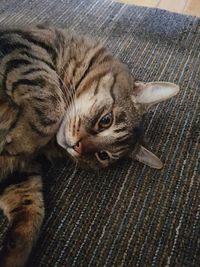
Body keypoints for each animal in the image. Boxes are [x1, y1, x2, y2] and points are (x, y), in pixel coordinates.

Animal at [0, 25, 179, 267]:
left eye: (102, 156)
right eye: (106, 121)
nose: (77, 147)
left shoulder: (20, 169)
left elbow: (31, 208)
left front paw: (14, 253)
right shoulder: (21, 45)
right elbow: (49, 101)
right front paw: (20, 139)